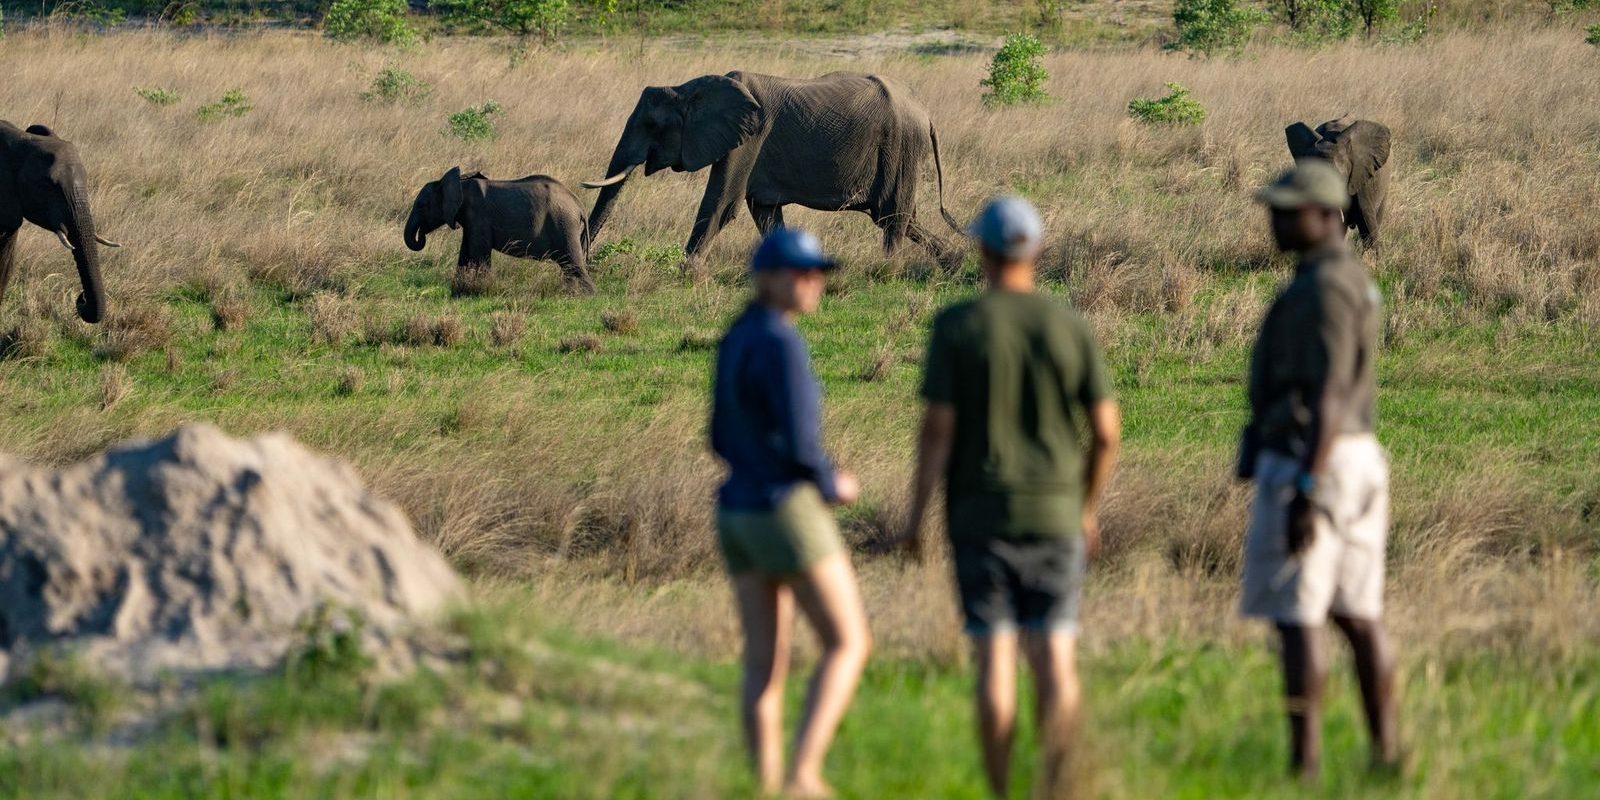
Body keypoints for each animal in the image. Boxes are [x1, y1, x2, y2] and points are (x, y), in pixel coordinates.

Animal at [403, 167, 598, 296]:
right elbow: (465, 255)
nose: (421, 235)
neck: (459, 184)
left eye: (421, 206)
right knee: (569, 267)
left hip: (564, 224)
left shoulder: (479, 217)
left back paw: (586, 296)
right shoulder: (470, 221)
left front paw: (481, 291)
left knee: (574, 264)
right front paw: (458, 291)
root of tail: (578, 203)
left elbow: (480, 254)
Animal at [585, 70, 960, 273]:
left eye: (651, 125)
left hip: (901, 146)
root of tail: (925, 112)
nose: (587, 262)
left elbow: (722, 204)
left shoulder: (748, 140)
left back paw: (888, 269)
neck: (689, 89)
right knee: (898, 217)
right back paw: (954, 260)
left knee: (892, 216)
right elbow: (764, 212)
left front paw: (686, 272)